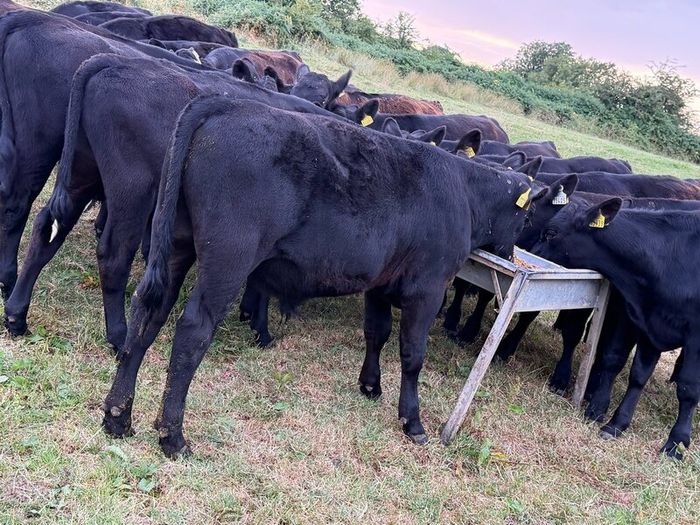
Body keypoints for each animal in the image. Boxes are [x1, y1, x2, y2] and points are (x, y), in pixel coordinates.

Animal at [2, 53, 370, 350]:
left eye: (323, 99)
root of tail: (112, 62)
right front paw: (261, 330)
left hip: (82, 167)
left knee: (48, 226)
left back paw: (17, 314)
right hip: (132, 187)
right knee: (113, 254)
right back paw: (119, 336)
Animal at [99, 95, 540, 458]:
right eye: (526, 215)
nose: (511, 255)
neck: (462, 190)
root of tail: (224, 105)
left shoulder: (380, 284)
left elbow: (376, 333)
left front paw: (370, 386)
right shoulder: (427, 288)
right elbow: (413, 355)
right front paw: (412, 422)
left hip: (176, 243)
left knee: (149, 312)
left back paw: (118, 416)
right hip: (228, 258)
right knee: (192, 330)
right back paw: (173, 436)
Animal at [531, 200, 700, 459]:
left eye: (551, 233)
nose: (531, 251)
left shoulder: (695, 338)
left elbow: (688, 389)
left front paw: (676, 442)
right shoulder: (649, 326)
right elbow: (637, 375)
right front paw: (616, 423)